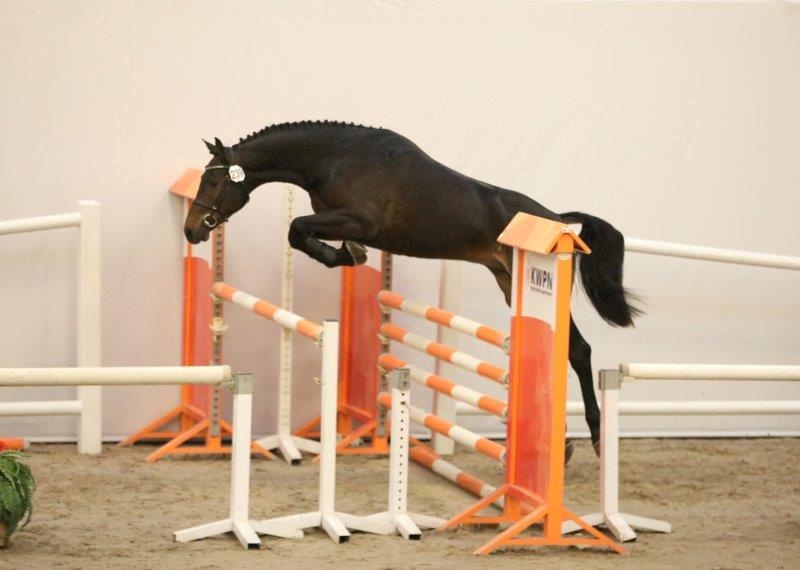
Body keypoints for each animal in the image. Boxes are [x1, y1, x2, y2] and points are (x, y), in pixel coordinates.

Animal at [184, 120, 641, 458]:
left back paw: (593, 437)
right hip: (509, 281)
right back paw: (563, 444)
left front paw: (347, 255)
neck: (336, 157)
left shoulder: (357, 219)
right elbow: (302, 234)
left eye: (213, 184)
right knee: (570, 349)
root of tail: (559, 222)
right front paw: (348, 254)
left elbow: (298, 230)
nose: (192, 231)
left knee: (578, 350)